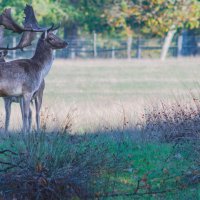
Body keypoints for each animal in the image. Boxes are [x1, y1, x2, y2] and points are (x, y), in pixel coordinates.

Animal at [0, 4, 67, 132]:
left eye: (55, 34)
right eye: (50, 38)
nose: (66, 43)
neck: (39, 69)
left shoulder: (20, 95)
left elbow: (24, 115)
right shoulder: (27, 91)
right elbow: (26, 115)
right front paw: (25, 134)